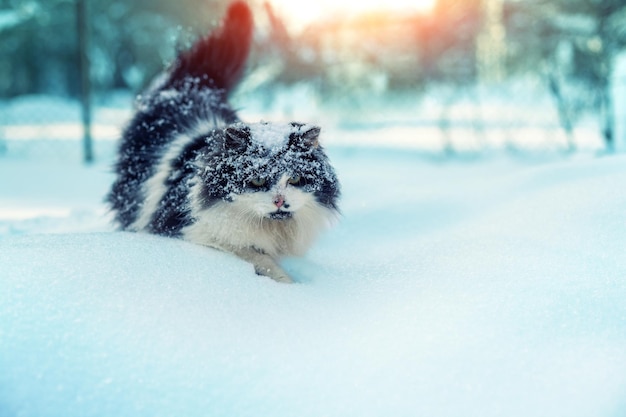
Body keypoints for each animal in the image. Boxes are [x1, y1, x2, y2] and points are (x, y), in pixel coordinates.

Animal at [107, 0, 342, 282]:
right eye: (257, 181)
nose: (279, 201)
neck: (271, 229)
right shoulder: (191, 231)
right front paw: (285, 283)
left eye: (295, 179)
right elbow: (254, 256)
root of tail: (194, 85)